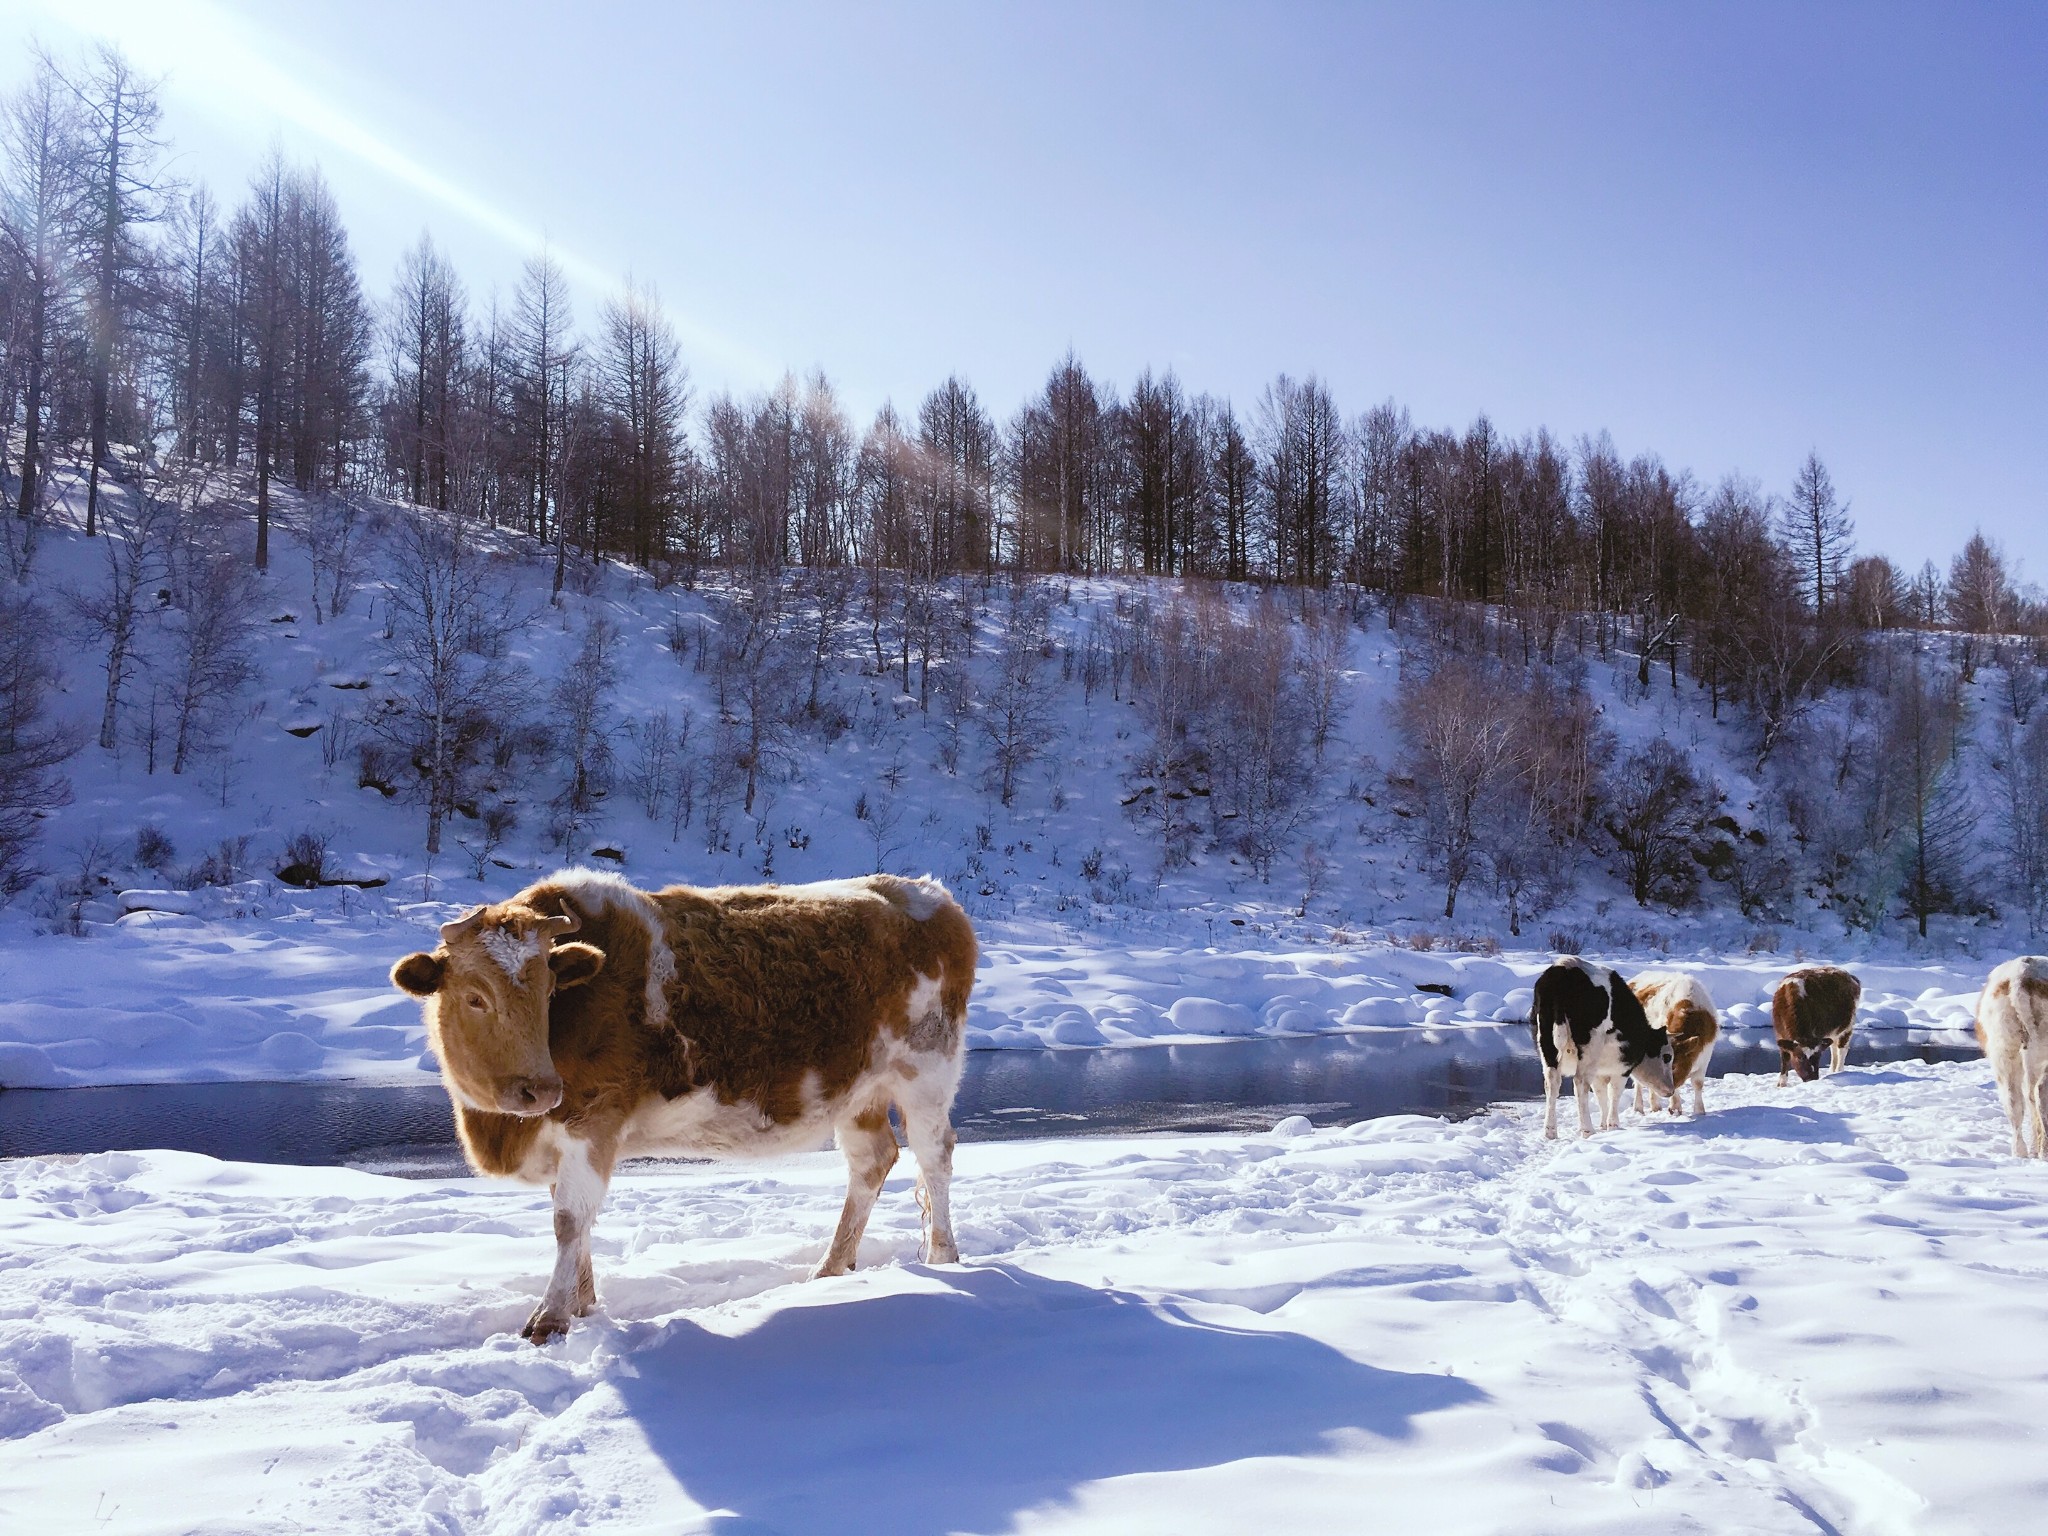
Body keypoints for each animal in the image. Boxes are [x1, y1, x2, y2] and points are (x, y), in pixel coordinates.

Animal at [397, 872, 983, 1343]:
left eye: (549, 990)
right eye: (474, 996)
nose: (539, 1090)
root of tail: (931, 895)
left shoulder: (593, 1120)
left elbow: (569, 1219)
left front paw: (552, 1319)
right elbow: (573, 1225)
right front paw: (585, 1305)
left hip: (926, 1073)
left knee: (935, 1158)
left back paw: (943, 1257)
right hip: (858, 1093)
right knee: (872, 1161)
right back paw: (829, 1271)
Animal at [1531, 962, 1671, 1146]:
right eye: (1667, 1056)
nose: (1671, 1090)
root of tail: (1563, 968)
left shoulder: (1600, 1071)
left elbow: (1600, 1094)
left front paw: (1604, 1124)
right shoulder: (1622, 1067)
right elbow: (1614, 1093)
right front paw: (1613, 1125)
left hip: (1547, 1044)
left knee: (1551, 1083)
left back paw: (1550, 1132)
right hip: (1590, 1047)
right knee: (1580, 1082)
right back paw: (1587, 1130)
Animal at [1622, 974, 1720, 1122]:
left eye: (1673, 1066)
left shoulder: (1705, 1058)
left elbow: (1697, 1084)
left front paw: (1699, 1112)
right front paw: (1675, 1108)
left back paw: (1656, 1107)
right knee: (1638, 1083)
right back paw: (1639, 1109)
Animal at [1966, 958, 2048, 1163]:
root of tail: (2019, 977)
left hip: (2004, 1050)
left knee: (2015, 1100)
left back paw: (2022, 1153)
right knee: (2039, 1092)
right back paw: (2043, 1153)